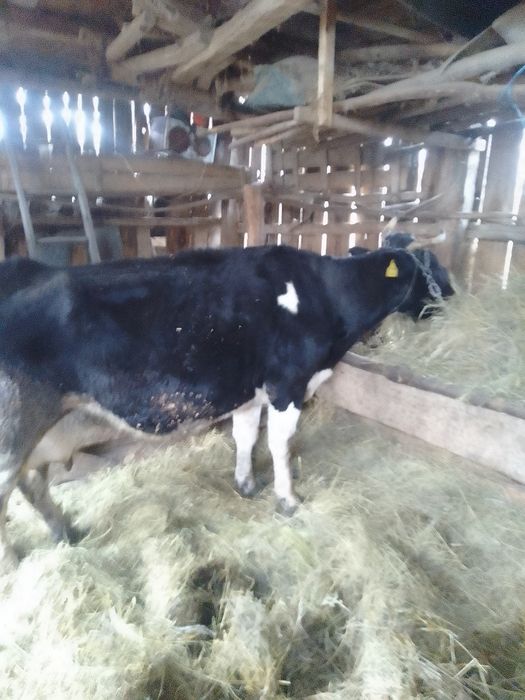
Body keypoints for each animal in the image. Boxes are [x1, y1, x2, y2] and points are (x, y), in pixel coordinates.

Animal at [0, 245, 454, 570]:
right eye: (434, 269)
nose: (453, 296)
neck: (324, 296)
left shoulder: (249, 391)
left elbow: (246, 436)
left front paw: (246, 483)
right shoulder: (288, 384)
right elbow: (280, 445)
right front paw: (288, 500)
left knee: (33, 484)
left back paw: (66, 532)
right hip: (14, 429)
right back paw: (13, 563)